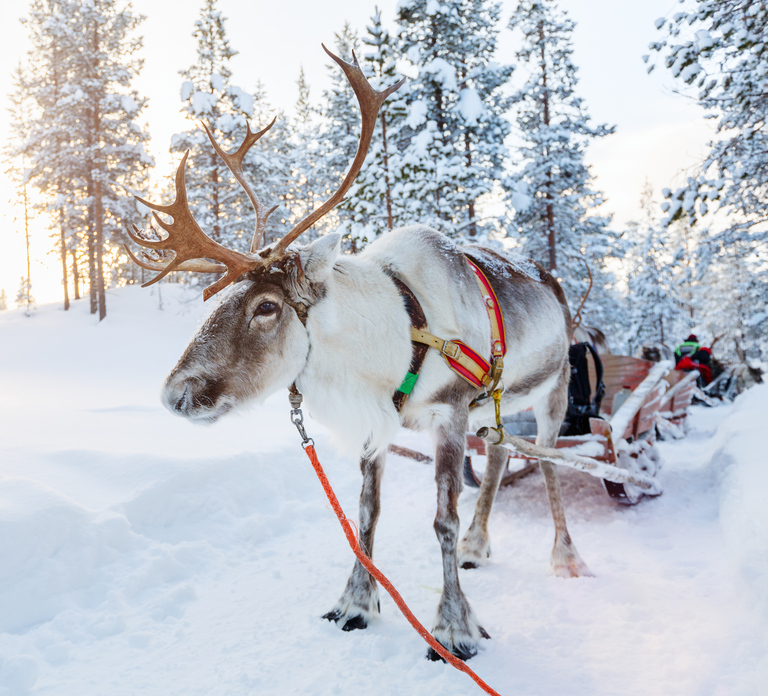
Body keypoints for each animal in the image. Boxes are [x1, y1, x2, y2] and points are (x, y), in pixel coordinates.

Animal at [126, 46, 591, 662]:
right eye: (223, 299)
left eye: (266, 306)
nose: (174, 394)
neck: (397, 335)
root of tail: (553, 281)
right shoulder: (380, 421)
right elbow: (367, 512)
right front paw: (354, 604)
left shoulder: (451, 411)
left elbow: (441, 518)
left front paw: (454, 629)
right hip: (495, 405)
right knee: (497, 455)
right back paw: (479, 544)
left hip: (553, 388)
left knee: (548, 460)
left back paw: (565, 555)